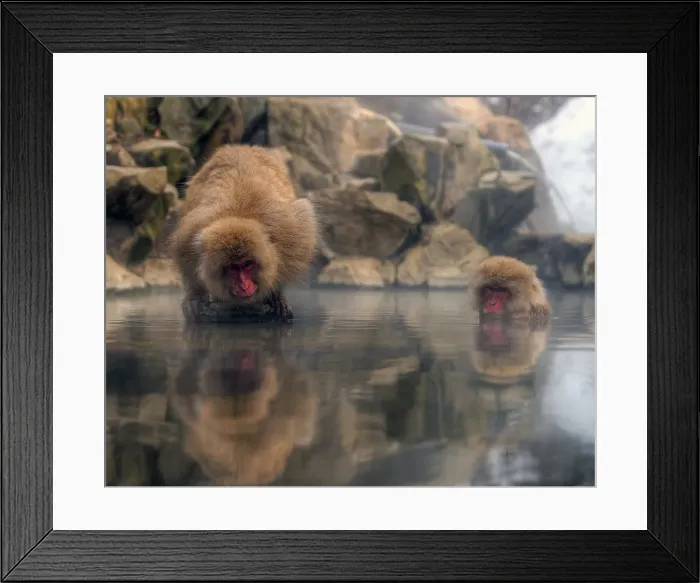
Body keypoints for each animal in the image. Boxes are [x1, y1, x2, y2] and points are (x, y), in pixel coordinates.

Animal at [170, 144, 318, 322]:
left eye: (247, 264)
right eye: (233, 267)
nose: (244, 286)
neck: (238, 216)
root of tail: (240, 146)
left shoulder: (291, 232)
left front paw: (277, 296)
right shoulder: (189, 236)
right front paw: (195, 297)